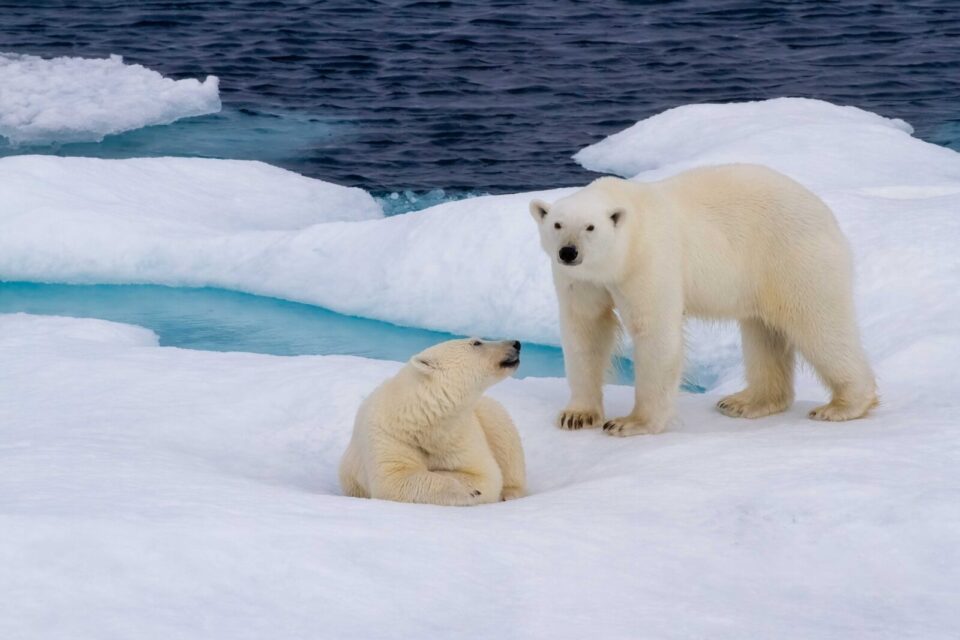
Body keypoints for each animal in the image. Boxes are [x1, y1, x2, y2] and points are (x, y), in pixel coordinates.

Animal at [342, 338, 528, 508]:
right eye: (476, 342)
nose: (516, 343)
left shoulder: (461, 436)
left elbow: (486, 474)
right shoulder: (388, 436)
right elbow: (394, 479)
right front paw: (467, 490)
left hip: (487, 413)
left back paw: (509, 493)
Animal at [532, 162, 876, 438]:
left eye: (590, 227)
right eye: (557, 224)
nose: (568, 252)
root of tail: (825, 212)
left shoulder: (649, 260)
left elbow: (654, 332)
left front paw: (630, 423)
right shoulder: (582, 281)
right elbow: (585, 329)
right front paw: (577, 415)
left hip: (792, 257)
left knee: (819, 324)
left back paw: (844, 405)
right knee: (763, 332)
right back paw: (746, 402)